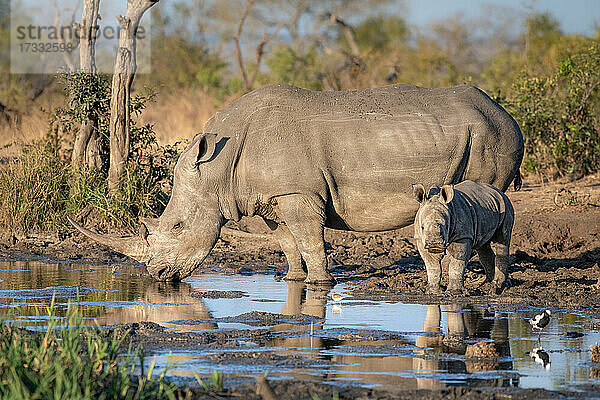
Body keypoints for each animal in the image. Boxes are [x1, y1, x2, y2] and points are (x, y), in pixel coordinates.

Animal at [68, 84, 524, 284]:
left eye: (177, 226)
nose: (157, 274)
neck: (218, 169)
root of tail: (506, 113)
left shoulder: (298, 193)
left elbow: (309, 239)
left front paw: (321, 283)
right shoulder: (270, 197)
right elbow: (287, 242)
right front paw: (291, 280)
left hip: (491, 135)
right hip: (486, 130)